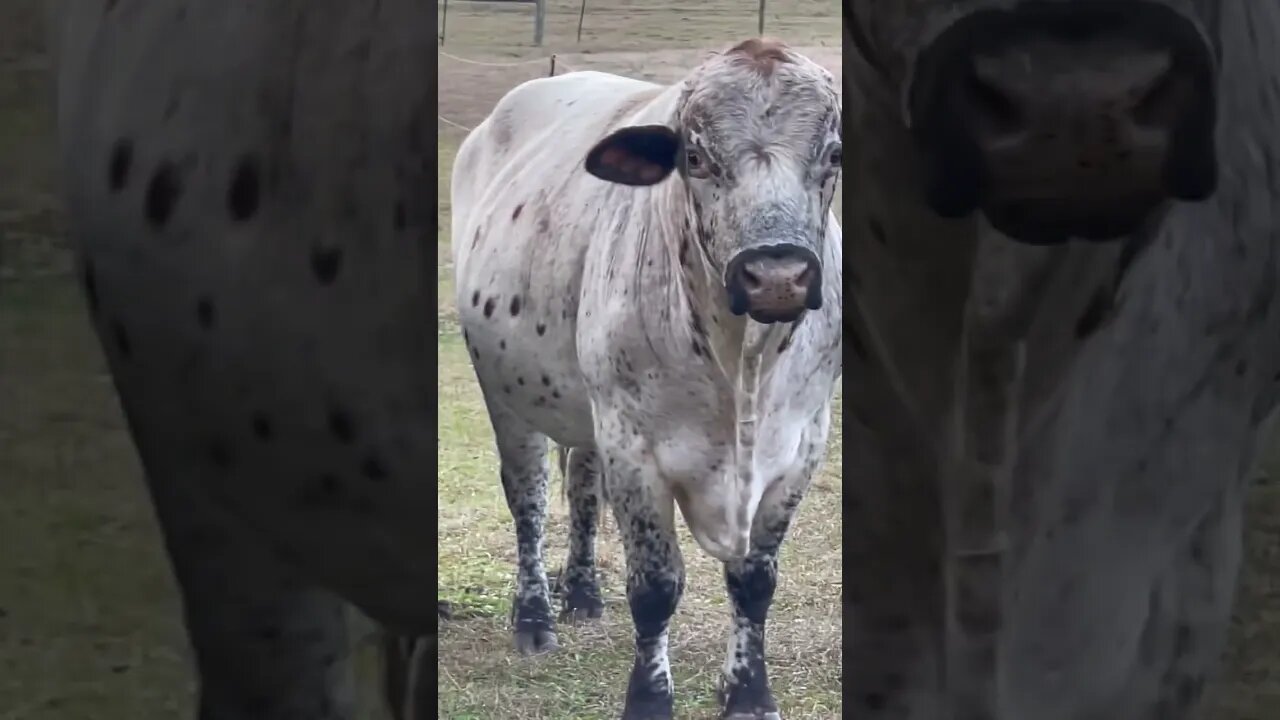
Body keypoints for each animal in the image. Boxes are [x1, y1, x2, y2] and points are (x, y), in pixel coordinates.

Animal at [455, 39, 844, 717]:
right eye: (695, 156)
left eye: (834, 155)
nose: (776, 277)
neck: (742, 365)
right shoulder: (635, 449)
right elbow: (656, 587)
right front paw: (649, 698)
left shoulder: (802, 448)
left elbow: (754, 581)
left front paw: (747, 693)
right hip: (508, 397)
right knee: (528, 500)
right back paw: (534, 618)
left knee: (582, 489)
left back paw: (583, 593)